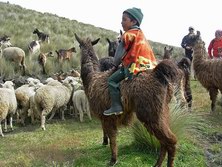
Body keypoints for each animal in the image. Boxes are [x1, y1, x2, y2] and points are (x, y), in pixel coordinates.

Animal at [75, 34, 180, 167]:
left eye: (79, 45)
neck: (92, 79)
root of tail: (158, 75)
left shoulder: (108, 117)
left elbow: (113, 139)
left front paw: (113, 160)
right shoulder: (105, 117)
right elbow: (107, 133)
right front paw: (106, 144)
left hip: (150, 113)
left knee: (170, 141)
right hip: (162, 112)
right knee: (164, 142)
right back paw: (157, 164)